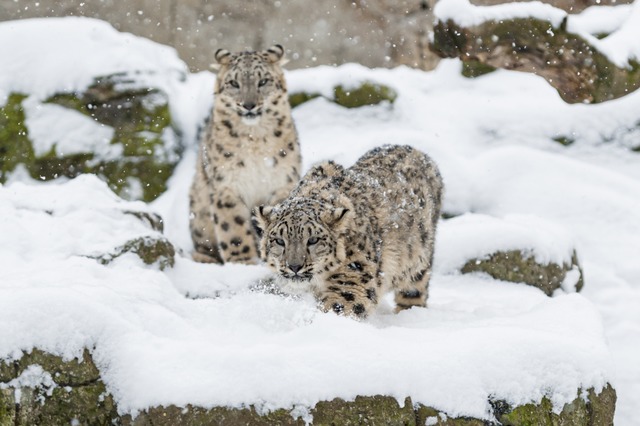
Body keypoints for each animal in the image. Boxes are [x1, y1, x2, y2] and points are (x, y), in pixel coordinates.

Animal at [189, 44, 302, 262]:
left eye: (263, 81)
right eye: (234, 83)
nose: (248, 105)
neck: (255, 140)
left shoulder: (283, 182)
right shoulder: (227, 185)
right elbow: (233, 229)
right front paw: (243, 262)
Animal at [252, 145, 442, 318]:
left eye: (313, 240)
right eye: (279, 240)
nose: (294, 266)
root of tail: (418, 151)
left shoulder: (353, 280)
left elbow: (338, 307)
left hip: (417, 263)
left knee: (414, 290)